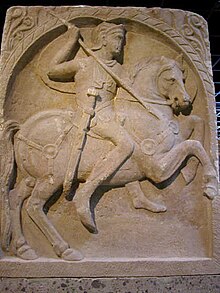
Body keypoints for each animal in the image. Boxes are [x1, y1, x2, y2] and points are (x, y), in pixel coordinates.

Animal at [0, 54, 217, 260]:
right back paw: (67, 248)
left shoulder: (175, 137)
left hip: (32, 178)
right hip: (52, 179)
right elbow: (193, 145)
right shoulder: (157, 169)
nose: (184, 102)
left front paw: (190, 171)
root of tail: (23, 129)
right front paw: (209, 183)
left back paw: (24, 248)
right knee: (34, 206)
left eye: (183, 78)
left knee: (15, 198)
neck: (146, 113)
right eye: (171, 79)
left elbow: (197, 124)